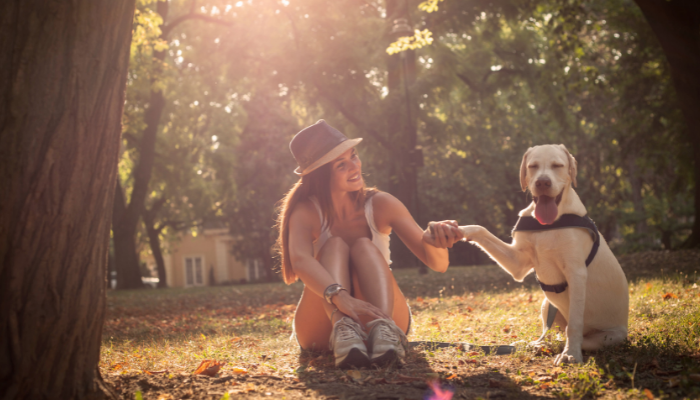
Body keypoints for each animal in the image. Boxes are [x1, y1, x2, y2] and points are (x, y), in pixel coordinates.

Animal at [460, 145, 628, 364]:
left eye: (557, 165)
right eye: (533, 166)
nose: (542, 182)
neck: (548, 225)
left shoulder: (576, 273)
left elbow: (574, 324)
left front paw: (571, 354)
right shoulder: (518, 264)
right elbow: (480, 230)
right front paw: (455, 230)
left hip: (610, 336)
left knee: (577, 337)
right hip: (547, 304)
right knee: (553, 334)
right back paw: (534, 344)